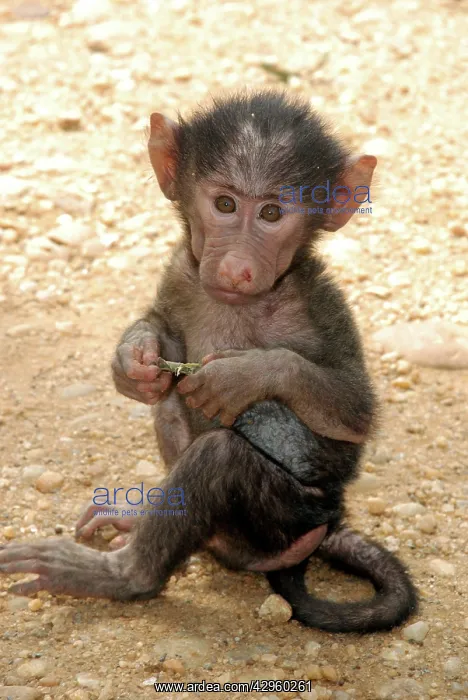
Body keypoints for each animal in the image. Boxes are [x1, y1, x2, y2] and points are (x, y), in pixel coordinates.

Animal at [0, 91, 417, 633]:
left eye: (271, 213)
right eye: (224, 205)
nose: (237, 267)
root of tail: (331, 524)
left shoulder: (319, 302)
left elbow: (355, 412)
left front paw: (241, 375)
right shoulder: (182, 269)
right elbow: (160, 329)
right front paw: (132, 358)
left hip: (283, 518)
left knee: (221, 455)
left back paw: (121, 574)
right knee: (172, 399)